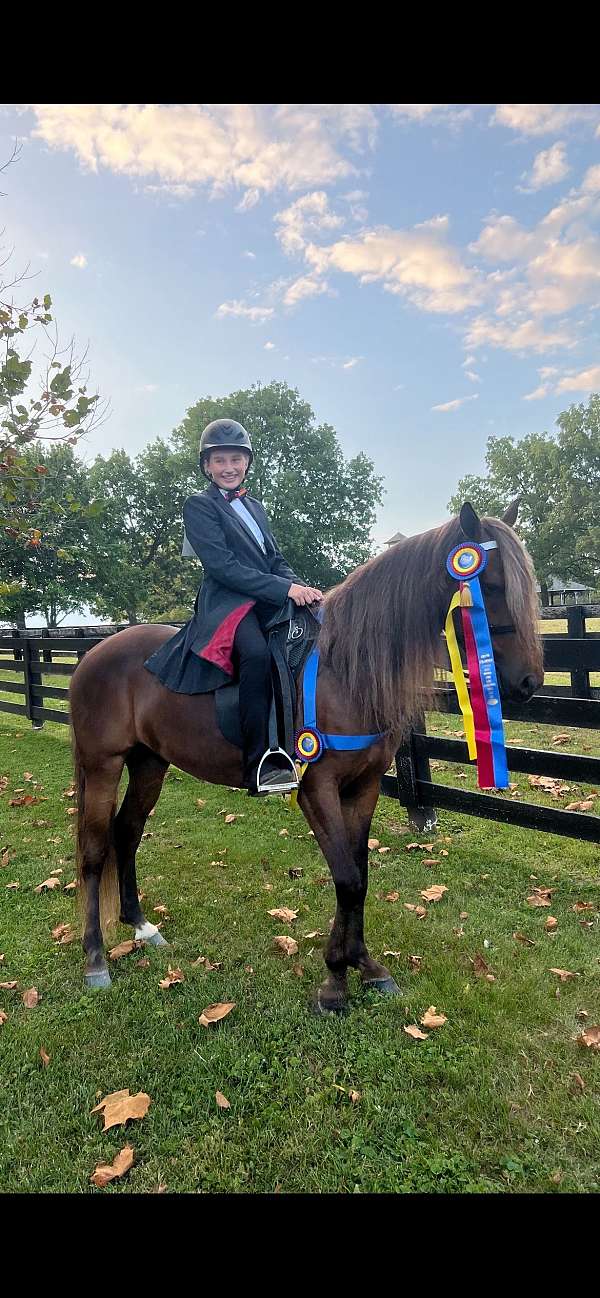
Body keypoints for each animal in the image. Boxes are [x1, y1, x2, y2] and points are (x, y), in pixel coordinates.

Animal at [69, 501, 542, 1007]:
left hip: (149, 763)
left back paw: (141, 926)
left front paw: (365, 965)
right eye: (491, 585)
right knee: (95, 850)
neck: (347, 666)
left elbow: (359, 876)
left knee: (127, 832)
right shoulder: (317, 788)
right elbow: (346, 878)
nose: (530, 682)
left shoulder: (363, 787)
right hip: (103, 765)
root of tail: (93, 653)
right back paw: (95, 959)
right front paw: (335, 979)